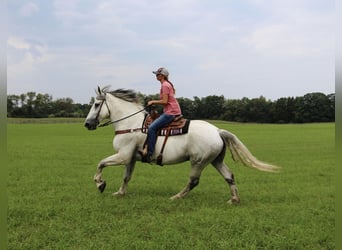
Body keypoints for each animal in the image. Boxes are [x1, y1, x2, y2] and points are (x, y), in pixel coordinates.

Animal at [84, 86, 280, 203]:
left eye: (96, 104)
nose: (87, 124)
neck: (130, 124)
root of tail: (217, 131)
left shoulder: (123, 156)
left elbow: (101, 163)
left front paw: (100, 184)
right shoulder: (130, 158)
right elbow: (126, 177)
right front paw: (120, 192)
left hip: (198, 161)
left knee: (193, 181)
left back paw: (177, 196)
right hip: (215, 160)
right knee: (229, 176)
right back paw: (234, 200)